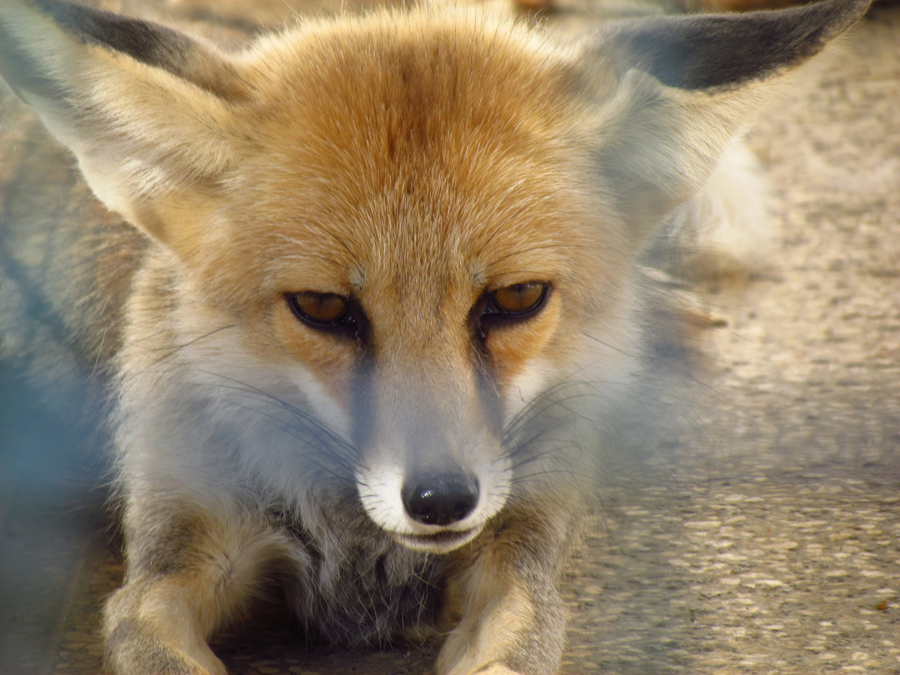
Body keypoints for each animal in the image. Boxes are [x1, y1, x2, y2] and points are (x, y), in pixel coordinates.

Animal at [0, 0, 871, 673]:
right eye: (321, 307)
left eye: (516, 297)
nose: (442, 498)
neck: (361, 549)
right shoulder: (167, 569)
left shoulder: (517, 558)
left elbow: (519, 640)